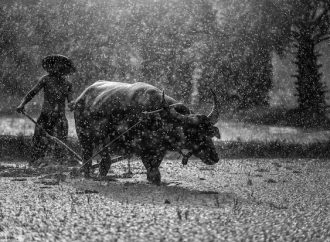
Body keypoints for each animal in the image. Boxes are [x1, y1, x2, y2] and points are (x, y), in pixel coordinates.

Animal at [73, 80, 220, 184]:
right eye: (194, 133)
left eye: (209, 133)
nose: (215, 156)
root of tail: (81, 98)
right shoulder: (143, 148)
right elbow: (151, 168)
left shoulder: (160, 149)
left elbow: (156, 165)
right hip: (84, 137)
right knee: (91, 158)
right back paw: (89, 175)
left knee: (104, 160)